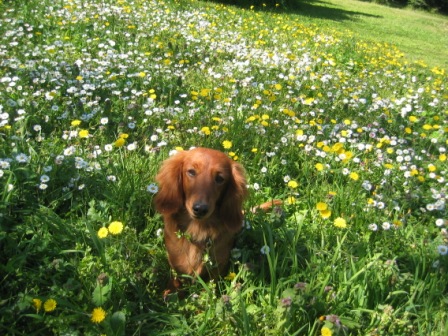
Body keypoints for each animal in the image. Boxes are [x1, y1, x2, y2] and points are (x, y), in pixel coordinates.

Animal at [155, 148, 248, 284]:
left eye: (220, 178)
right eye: (191, 172)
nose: (200, 209)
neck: (198, 229)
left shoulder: (217, 271)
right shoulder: (175, 268)